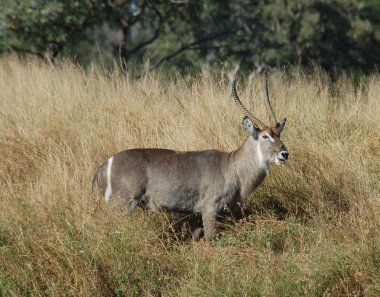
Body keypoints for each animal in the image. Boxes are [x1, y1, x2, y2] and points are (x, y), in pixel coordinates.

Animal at [92, 79, 288, 240]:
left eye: (279, 134)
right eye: (264, 136)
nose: (284, 154)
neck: (232, 166)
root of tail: (102, 167)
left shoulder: (197, 215)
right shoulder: (210, 208)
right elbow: (210, 241)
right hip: (122, 204)